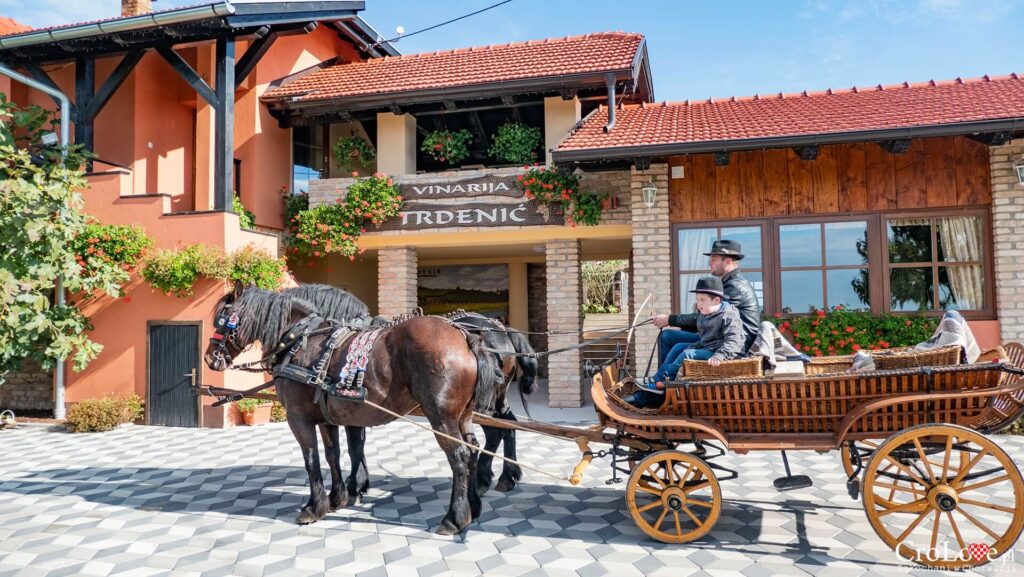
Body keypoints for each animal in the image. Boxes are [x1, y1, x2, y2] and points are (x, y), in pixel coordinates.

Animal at [206, 282, 507, 537]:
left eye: (224, 319)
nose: (210, 358)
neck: (300, 341)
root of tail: (466, 337)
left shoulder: (299, 417)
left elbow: (312, 458)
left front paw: (313, 507)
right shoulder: (327, 417)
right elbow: (334, 454)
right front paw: (337, 497)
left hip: (440, 415)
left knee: (458, 456)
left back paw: (454, 518)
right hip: (463, 415)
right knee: (472, 449)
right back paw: (472, 507)